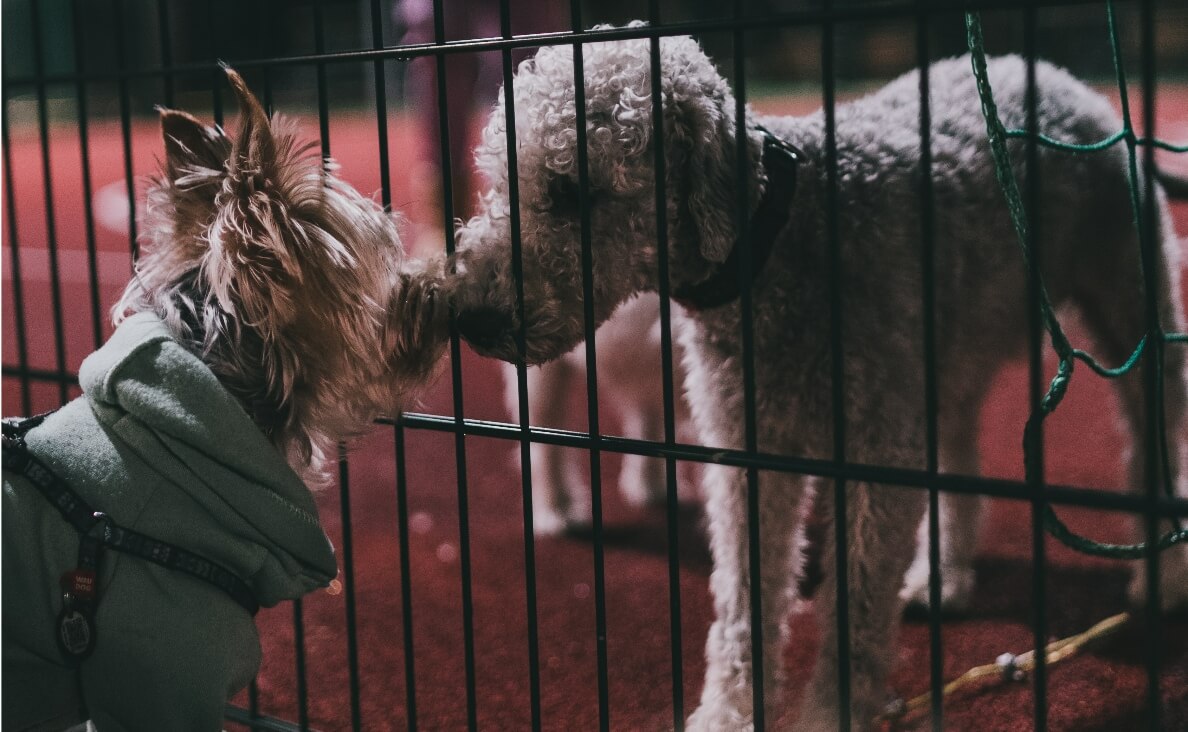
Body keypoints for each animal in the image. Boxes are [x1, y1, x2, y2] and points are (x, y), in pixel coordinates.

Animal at [446, 25, 1188, 727]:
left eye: (570, 190)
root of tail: (1052, 74)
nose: (471, 317)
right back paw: (942, 578)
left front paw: (833, 714)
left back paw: (1162, 580)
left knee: (1152, 441)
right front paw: (731, 714)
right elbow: (744, 599)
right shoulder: (748, 452)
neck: (783, 242)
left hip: (1131, 305)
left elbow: (855, 604)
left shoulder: (873, 453)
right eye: (500, 183)